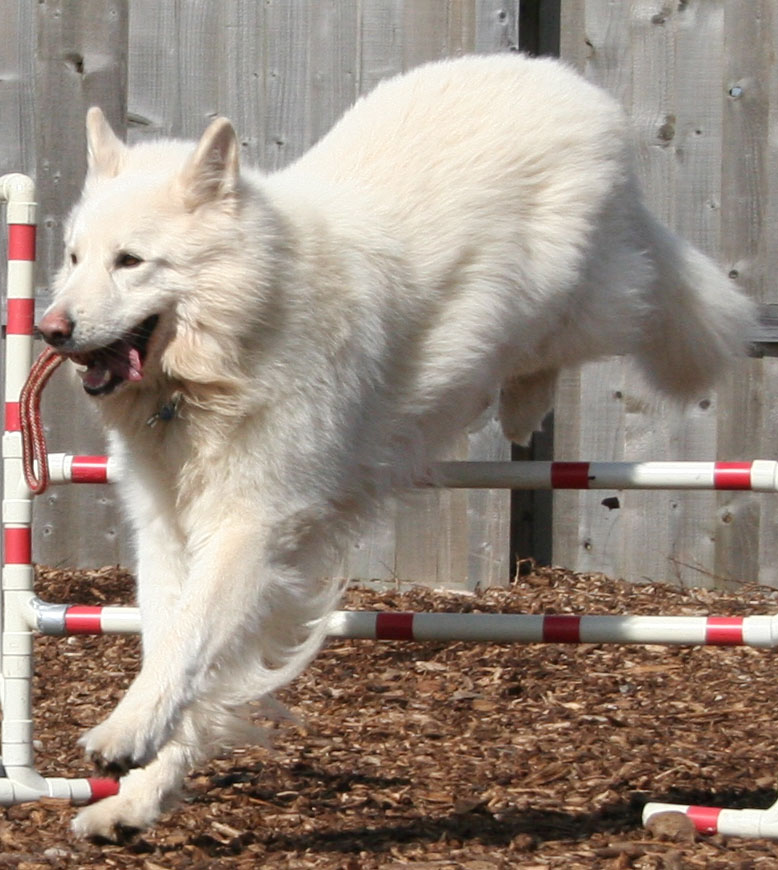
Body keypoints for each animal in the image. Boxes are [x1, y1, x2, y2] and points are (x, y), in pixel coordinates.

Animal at [39, 52, 756, 836]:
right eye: (73, 257)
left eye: (130, 261)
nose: (48, 329)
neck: (235, 344)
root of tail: (553, 73)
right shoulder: (171, 532)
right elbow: (177, 649)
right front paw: (140, 791)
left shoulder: (253, 529)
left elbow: (190, 641)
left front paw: (128, 732)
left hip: (570, 298)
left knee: (615, 311)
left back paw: (524, 406)